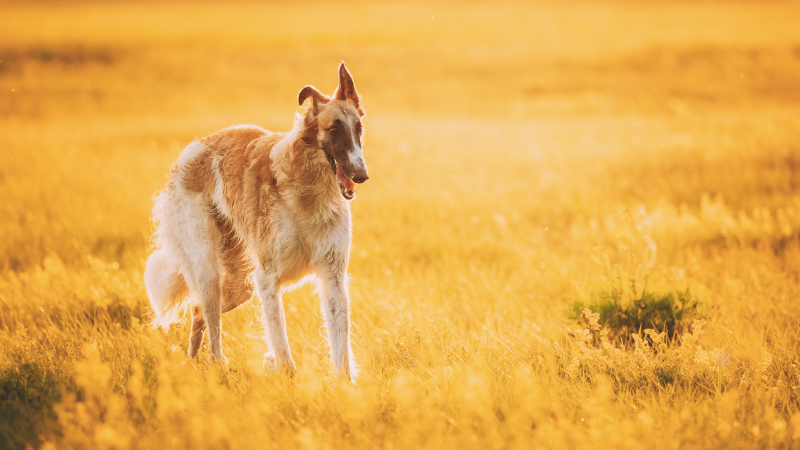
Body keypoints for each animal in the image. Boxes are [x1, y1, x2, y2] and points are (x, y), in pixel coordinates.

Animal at [144, 62, 368, 380]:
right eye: (334, 129)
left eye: (358, 128)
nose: (362, 175)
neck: (305, 191)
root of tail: (194, 148)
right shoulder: (267, 278)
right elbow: (281, 343)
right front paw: (283, 372)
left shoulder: (333, 277)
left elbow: (340, 349)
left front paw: (343, 385)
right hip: (210, 270)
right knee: (211, 330)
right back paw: (217, 367)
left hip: (241, 284)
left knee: (197, 312)